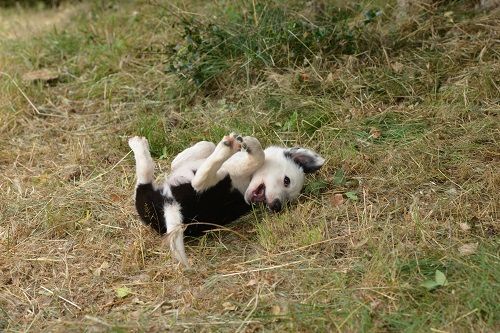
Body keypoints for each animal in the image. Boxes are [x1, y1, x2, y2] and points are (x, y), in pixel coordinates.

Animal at [129, 132, 324, 264]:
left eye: (287, 203)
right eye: (286, 180)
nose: (276, 206)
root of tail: (174, 207)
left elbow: (258, 156)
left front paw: (249, 145)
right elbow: (201, 147)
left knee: (191, 181)